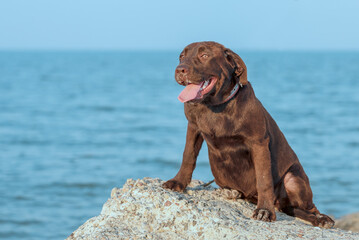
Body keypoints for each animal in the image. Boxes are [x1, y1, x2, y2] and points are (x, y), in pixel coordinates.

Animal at [162, 41, 336, 229]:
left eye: (204, 55)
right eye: (181, 56)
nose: (180, 70)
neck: (215, 105)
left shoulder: (258, 143)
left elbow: (263, 179)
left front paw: (264, 210)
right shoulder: (193, 128)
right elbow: (188, 156)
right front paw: (178, 182)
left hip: (293, 179)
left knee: (307, 207)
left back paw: (321, 218)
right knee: (288, 208)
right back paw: (232, 192)